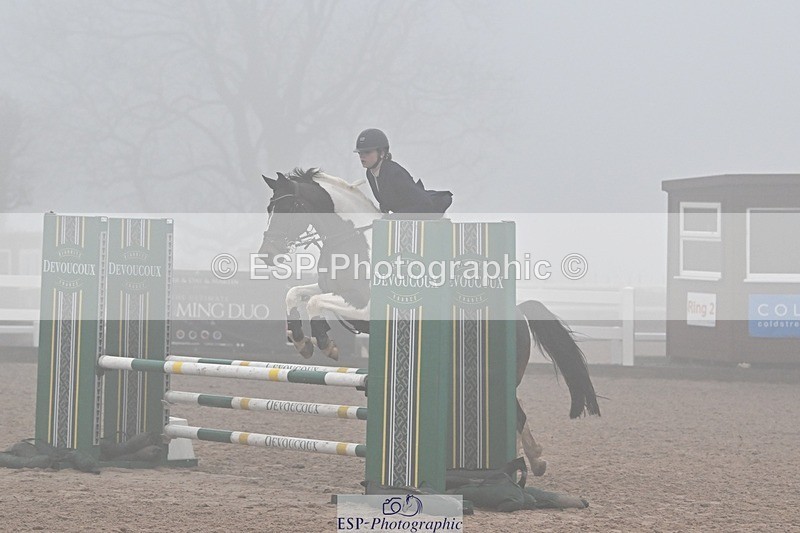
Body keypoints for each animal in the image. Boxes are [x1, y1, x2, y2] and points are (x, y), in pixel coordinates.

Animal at [257, 168, 600, 475]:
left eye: (289, 207)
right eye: (270, 208)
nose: (265, 256)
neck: (352, 242)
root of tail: (517, 312)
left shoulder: (365, 307)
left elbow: (314, 303)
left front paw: (326, 344)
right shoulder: (335, 291)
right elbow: (295, 294)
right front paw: (300, 341)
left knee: (514, 416)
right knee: (517, 414)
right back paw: (536, 461)